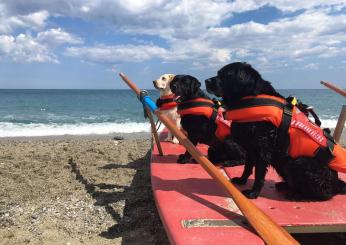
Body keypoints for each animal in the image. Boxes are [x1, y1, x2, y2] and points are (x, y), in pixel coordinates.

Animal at [205, 62, 346, 200]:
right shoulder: (251, 148)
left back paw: (296, 195)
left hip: (298, 163)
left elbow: (259, 175)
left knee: (323, 195)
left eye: (227, 74)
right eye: (218, 73)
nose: (206, 81)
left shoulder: (263, 150)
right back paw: (284, 186)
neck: (251, 98)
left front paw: (253, 193)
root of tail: (337, 184)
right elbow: (247, 167)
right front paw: (241, 180)